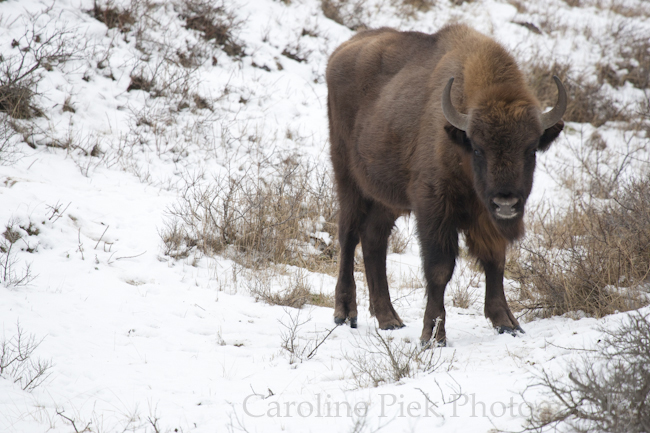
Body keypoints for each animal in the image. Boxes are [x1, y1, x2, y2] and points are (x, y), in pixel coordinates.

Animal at [326, 24, 564, 344]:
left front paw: (507, 323)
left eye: (530, 149)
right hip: (349, 180)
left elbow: (495, 261)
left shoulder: (485, 218)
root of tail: (340, 53)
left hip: (386, 198)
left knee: (374, 240)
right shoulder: (433, 209)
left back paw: (389, 319)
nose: (506, 202)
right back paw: (345, 314)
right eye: (478, 148)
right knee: (349, 236)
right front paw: (432, 335)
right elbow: (439, 268)